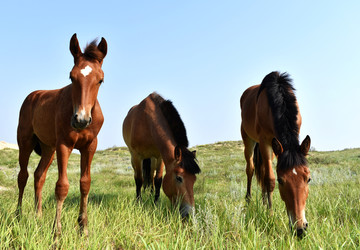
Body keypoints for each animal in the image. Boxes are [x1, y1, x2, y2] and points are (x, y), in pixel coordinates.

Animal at [16, 34, 107, 237]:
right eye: (71, 77)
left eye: (100, 80)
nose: (81, 119)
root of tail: (33, 95)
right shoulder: (64, 145)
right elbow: (62, 186)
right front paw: (56, 232)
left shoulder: (90, 146)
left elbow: (85, 183)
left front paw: (83, 228)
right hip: (25, 143)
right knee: (23, 176)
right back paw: (18, 215)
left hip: (48, 148)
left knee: (39, 175)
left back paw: (38, 216)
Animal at [240, 71, 310, 237]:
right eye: (281, 181)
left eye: (308, 179)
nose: (300, 228)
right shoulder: (265, 142)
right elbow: (270, 179)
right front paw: (270, 215)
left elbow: (267, 177)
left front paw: (267, 208)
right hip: (248, 139)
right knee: (251, 169)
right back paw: (249, 200)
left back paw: (263, 202)